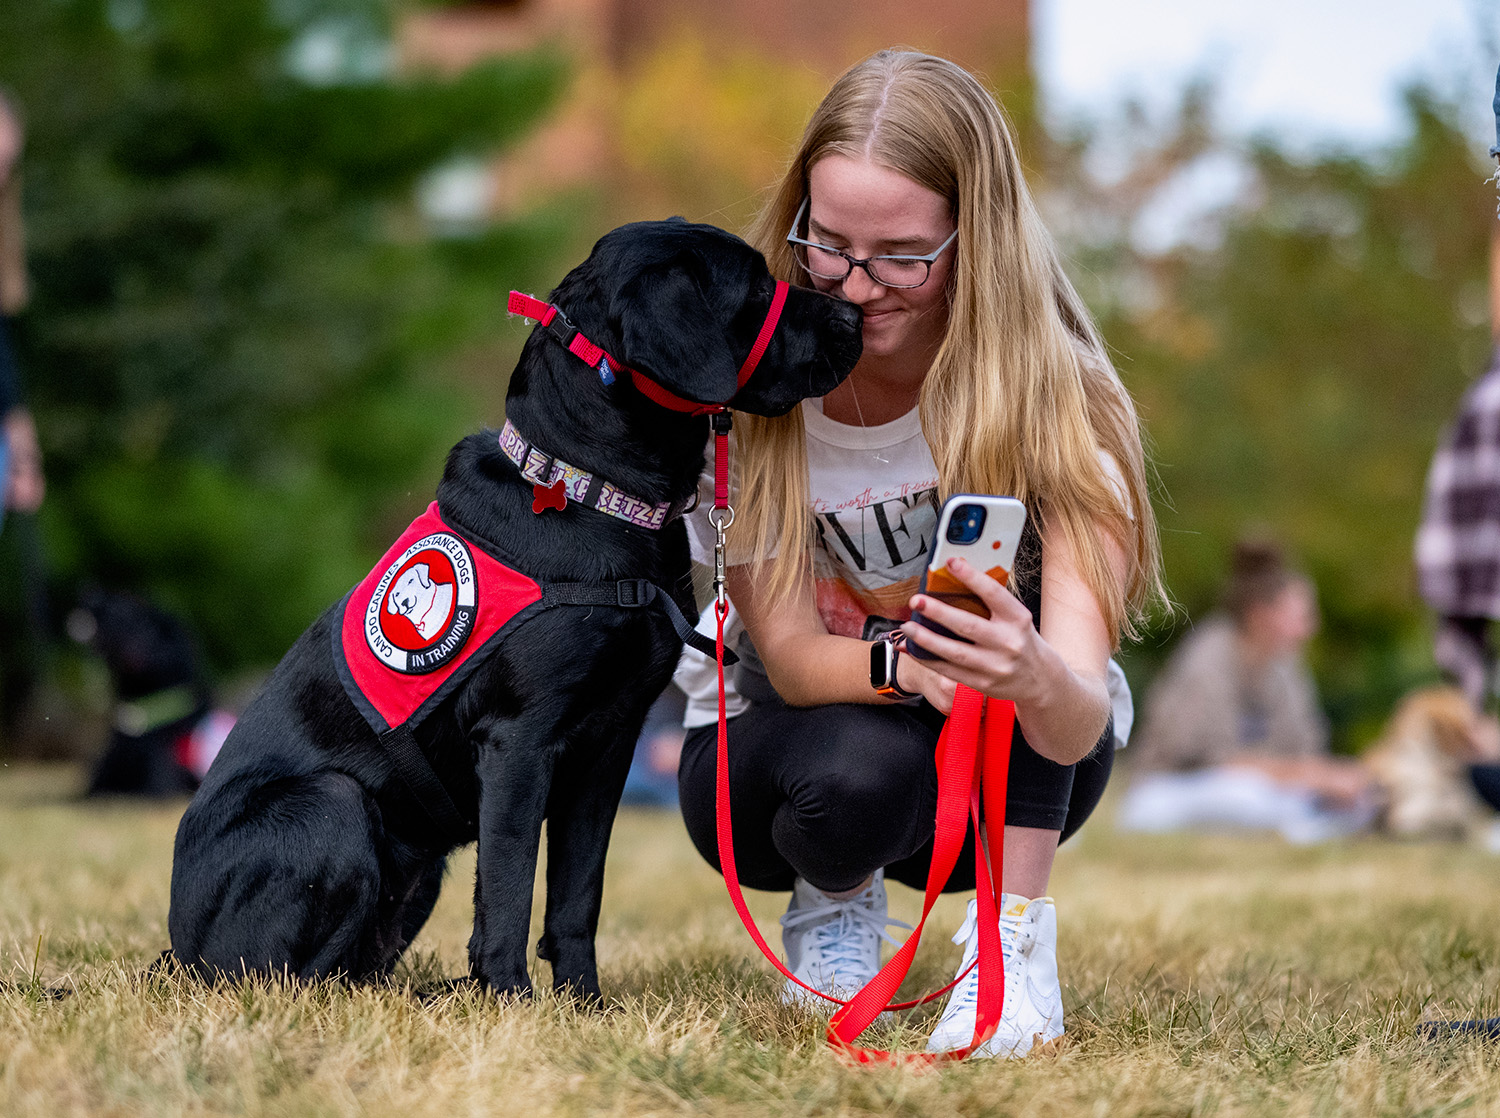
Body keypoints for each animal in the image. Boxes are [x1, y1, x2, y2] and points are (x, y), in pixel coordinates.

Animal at [165, 216, 864, 996]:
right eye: (756, 286)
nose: (856, 316)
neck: (590, 491)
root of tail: (175, 949)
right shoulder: (519, 739)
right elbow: (508, 886)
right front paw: (508, 997)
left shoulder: (609, 745)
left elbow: (576, 893)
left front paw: (583, 1002)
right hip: (334, 808)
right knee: (284, 976)